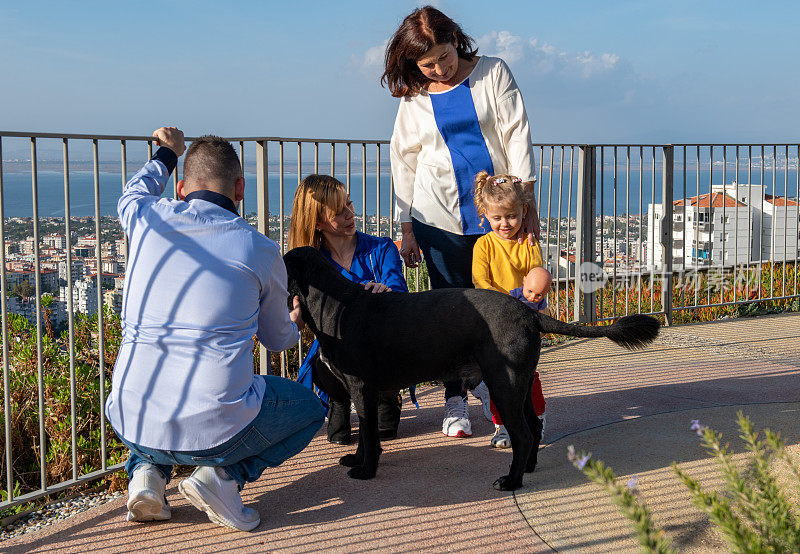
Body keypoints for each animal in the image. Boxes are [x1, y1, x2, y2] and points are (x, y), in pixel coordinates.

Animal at [284, 246, 660, 488]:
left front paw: (366, 470)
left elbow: (369, 435)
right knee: (534, 428)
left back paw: (512, 480)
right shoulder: (364, 392)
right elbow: (365, 433)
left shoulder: (362, 389)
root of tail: (529, 314)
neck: (337, 306)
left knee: (524, 433)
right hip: (519, 384)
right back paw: (528, 469)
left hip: (504, 385)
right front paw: (356, 459)